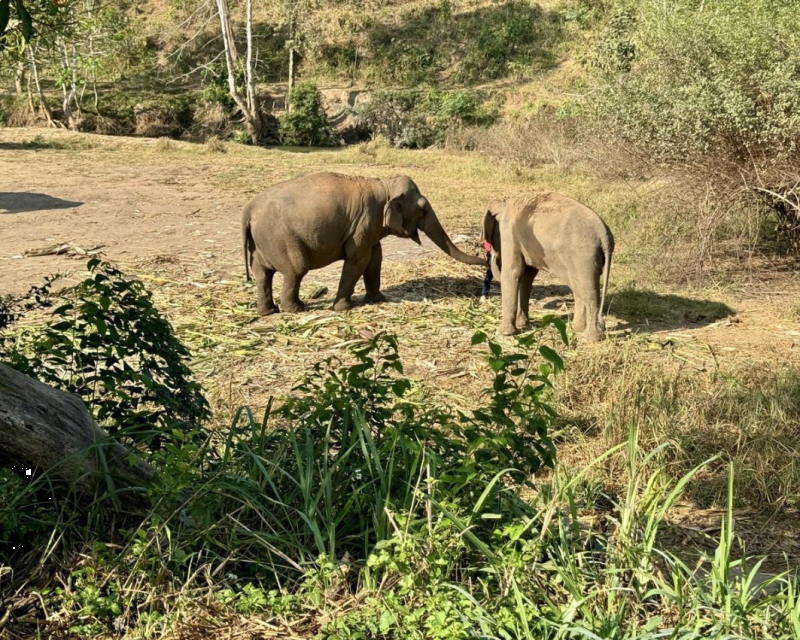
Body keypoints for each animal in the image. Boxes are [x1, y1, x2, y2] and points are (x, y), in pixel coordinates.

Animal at [242, 172, 485, 315]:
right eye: (423, 210)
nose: (486, 258)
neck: (383, 185)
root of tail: (249, 209)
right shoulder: (364, 222)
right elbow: (358, 259)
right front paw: (343, 308)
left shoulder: (371, 227)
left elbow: (375, 259)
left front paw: (377, 300)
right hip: (282, 238)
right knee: (296, 269)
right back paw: (296, 309)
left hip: (262, 242)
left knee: (262, 273)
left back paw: (268, 311)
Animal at [481, 192, 614, 341]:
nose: (490, 256)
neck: (504, 202)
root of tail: (605, 235)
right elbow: (527, 275)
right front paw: (522, 325)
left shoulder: (509, 231)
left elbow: (512, 273)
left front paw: (504, 333)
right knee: (577, 286)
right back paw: (577, 328)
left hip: (584, 256)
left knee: (587, 291)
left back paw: (589, 337)